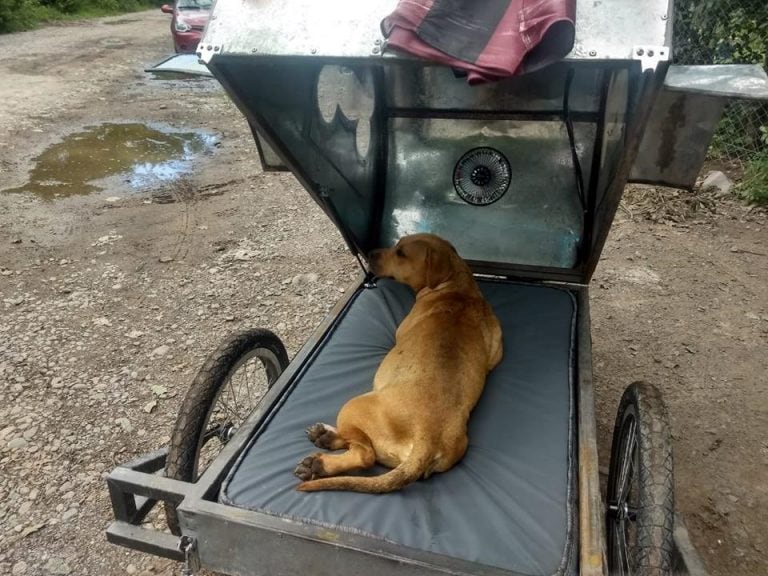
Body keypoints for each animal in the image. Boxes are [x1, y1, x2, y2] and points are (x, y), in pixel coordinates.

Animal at [294, 234, 504, 496]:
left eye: (401, 253)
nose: (370, 253)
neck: (456, 288)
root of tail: (427, 436)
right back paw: (324, 438)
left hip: (354, 406)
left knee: (364, 454)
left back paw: (322, 456)